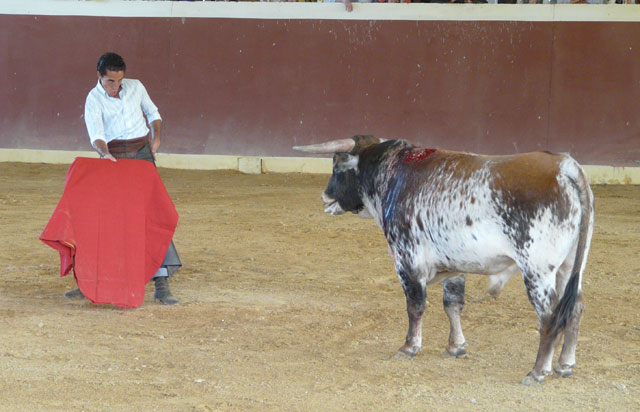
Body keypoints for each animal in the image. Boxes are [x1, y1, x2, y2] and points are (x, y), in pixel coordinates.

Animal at [296, 134, 596, 384]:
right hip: (569, 267)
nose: (325, 197)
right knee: (576, 308)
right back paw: (565, 364)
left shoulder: (407, 260)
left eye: (337, 168)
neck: (392, 174)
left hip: (537, 270)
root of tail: (564, 165)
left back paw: (538, 371)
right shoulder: (455, 265)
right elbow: (453, 305)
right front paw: (456, 346)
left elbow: (415, 306)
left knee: (549, 316)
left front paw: (410, 346)